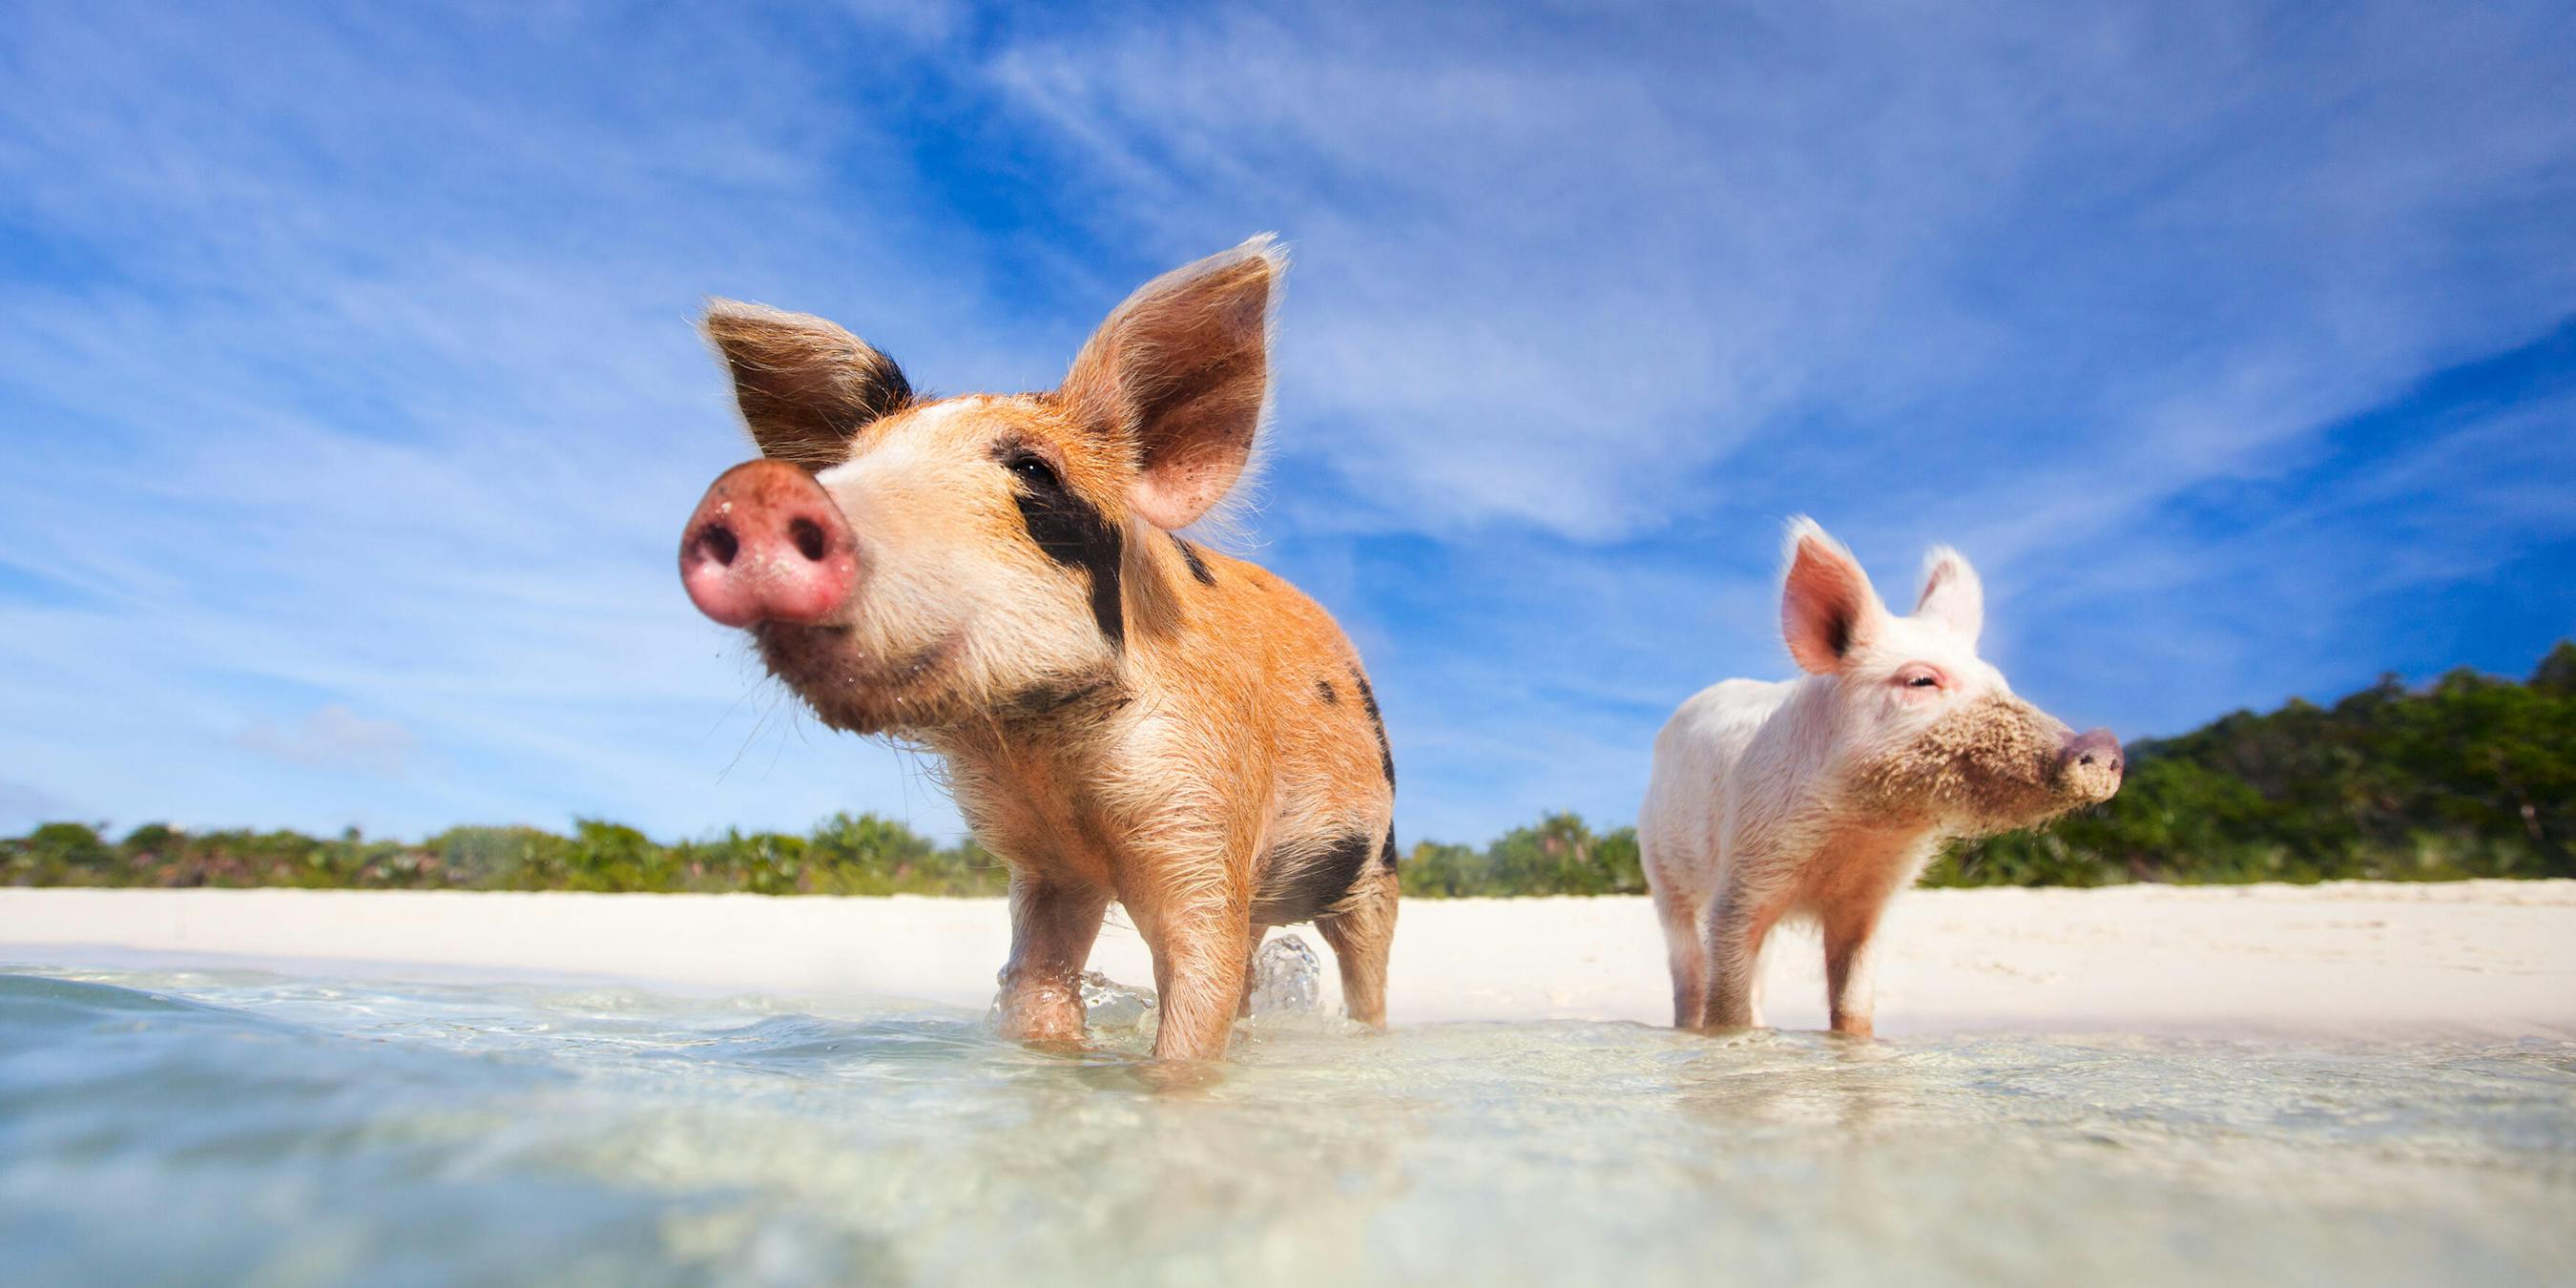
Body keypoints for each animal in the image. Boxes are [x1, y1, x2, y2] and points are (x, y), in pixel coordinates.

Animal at [676, 237, 1398, 1062]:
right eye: (843, 465)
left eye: (1033, 470)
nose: (758, 492)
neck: (1052, 756)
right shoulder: (1047, 866)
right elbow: (1039, 986)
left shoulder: (1205, 814)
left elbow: (1196, 999)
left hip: (1376, 865)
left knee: (1364, 970)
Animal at [1638, 518, 2123, 1038]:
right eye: (1921, 681)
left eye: (2001, 682)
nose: (2104, 745)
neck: (1860, 829)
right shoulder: (1745, 875)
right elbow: (1727, 1003)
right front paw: (1729, 1039)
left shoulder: (1870, 899)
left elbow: (1854, 1003)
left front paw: (1851, 1043)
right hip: (1661, 867)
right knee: (1688, 969)